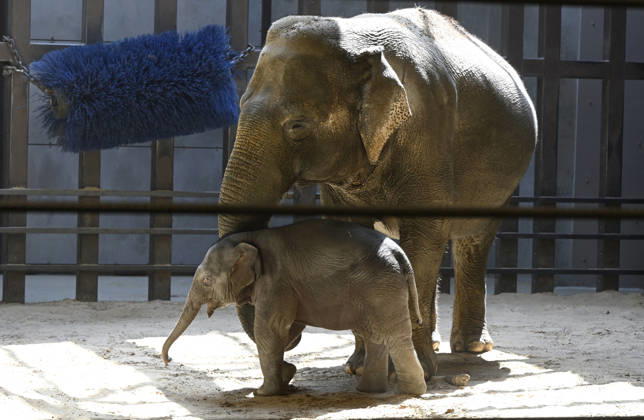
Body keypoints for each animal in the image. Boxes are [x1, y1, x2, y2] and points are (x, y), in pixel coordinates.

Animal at [161, 219, 427, 396]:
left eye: (206, 280)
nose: (168, 360)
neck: (252, 237)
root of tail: (400, 254)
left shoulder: (276, 282)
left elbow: (269, 330)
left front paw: (263, 392)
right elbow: (285, 329)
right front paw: (286, 376)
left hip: (381, 288)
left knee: (394, 337)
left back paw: (411, 392)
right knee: (376, 337)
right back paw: (369, 391)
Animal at [217, 8, 538, 378]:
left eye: (297, 126)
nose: (290, 354)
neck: (357, 38)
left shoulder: (428, 133)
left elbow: (424, 237)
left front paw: (411, 372)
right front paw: (360, 367)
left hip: (503, 181)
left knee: (472, 240)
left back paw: (472, 347)